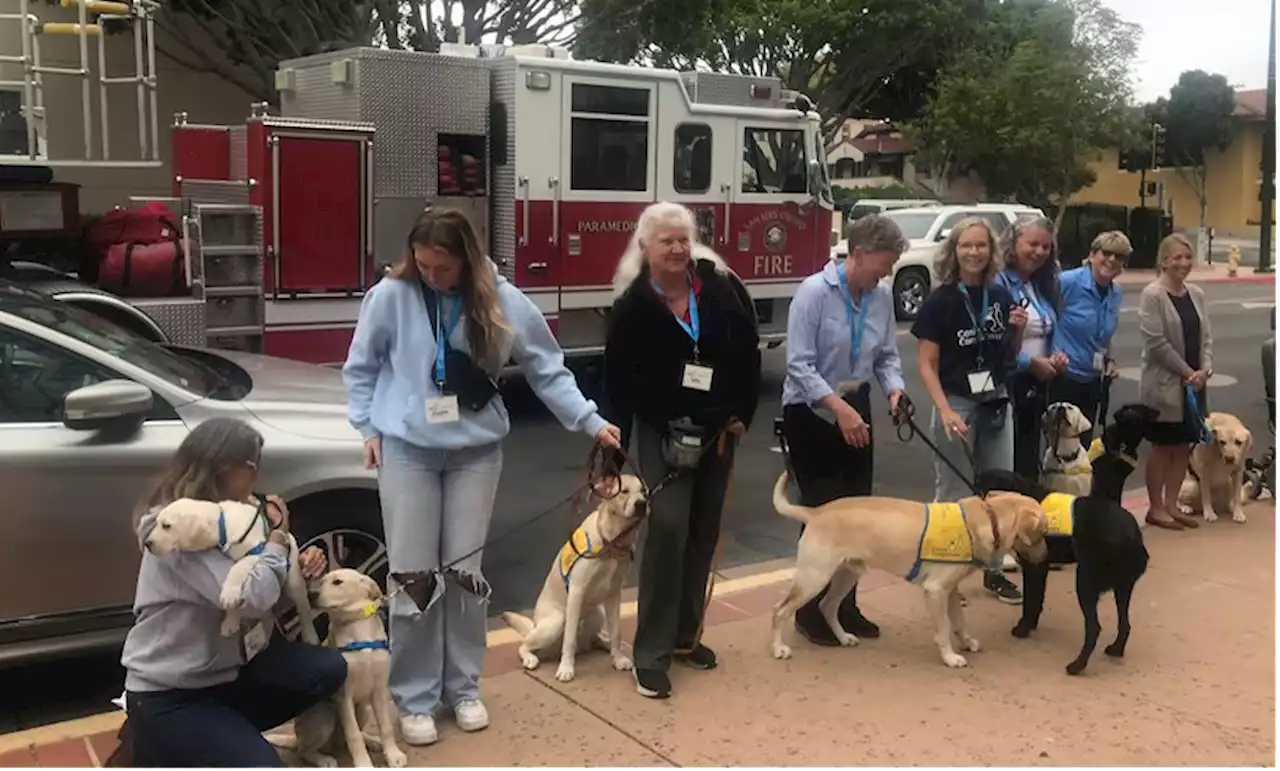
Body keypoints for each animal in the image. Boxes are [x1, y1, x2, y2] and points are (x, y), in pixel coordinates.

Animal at [501, 473, 645, 676]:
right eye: (624, 491)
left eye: (644, 491)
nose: (642, 504)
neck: (612, 540)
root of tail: (535, 624)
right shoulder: (577, 590)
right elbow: (569, 638)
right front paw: (566, 668)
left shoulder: (614, 593)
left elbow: (616, 632)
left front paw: (618, 658)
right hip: (555, 623)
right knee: (525, 644)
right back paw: (530, 658)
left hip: (597, 613)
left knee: (596, 638)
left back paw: (609, 645)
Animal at [768, 468, 1049, 665]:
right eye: (1042, 533)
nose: (1046, 557)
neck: (988, 520)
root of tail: (815, 512)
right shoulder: (935, 590)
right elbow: (943, 628)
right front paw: (950, 657)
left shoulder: (951, 590)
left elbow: (960, 622)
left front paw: (967, 642)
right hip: (814, 577)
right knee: (779, 610)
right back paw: (778, 648)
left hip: (847, 575)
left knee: (827, 606)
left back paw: (843, 637)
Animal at [977, 402, 1162, 671]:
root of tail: (1134, 538)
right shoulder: (1040, 566)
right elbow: (1036, 600)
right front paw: (1030, 626)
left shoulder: (1033, 565)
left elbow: (1031, 600)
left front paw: (1023, 628)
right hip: (1122, 587)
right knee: (1125, 624)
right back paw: (1115, 650)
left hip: (1086, 581)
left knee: (1094, 628)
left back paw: (1077, 665)